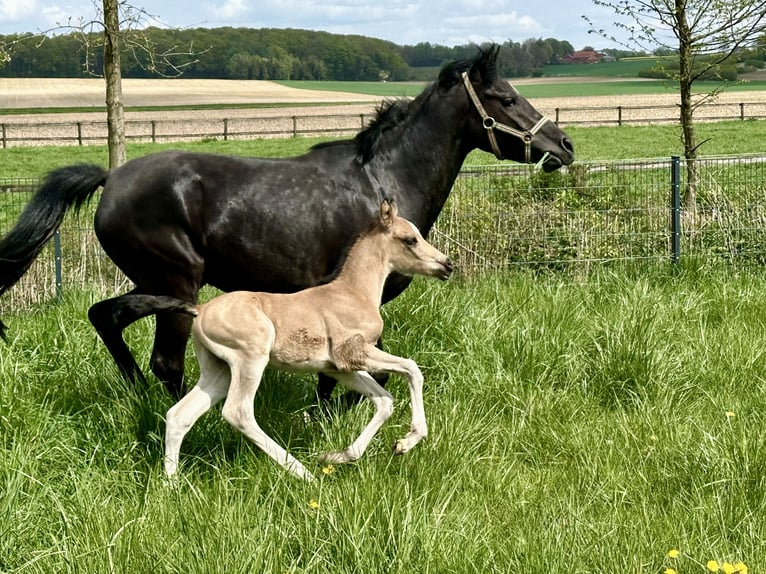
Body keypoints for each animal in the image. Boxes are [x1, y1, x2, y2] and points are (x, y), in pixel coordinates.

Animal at [0, 45, 574, 400]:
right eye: (506, 98)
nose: (564, 145)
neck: (383, 179)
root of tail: (110, 178)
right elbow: (348, 372)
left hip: (157, 285)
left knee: (107, 317)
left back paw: (137, 394)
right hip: (176, 282)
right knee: (163, 359)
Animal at [130, 199, 452, 480]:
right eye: (410, 240)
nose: (446, 265)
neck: (353, 292)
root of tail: (201, 308)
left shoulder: (338, 368)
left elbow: (383, 400)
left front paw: (340, 455)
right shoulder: (354, 353)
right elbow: (412, 369)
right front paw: (407, 440)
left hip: (217, 370)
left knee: (179, 415)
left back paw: (171, 484)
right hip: (250, 359)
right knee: (238, 412)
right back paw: (302, 472)